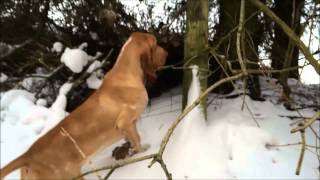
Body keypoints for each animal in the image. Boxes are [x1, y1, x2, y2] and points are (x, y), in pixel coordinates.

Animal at [1, 32, 168, 179]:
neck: (125, 72)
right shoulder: (126, 122)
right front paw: (143, 151)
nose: (167, 53)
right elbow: (137, 140)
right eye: (155, 43)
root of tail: (27, 156)